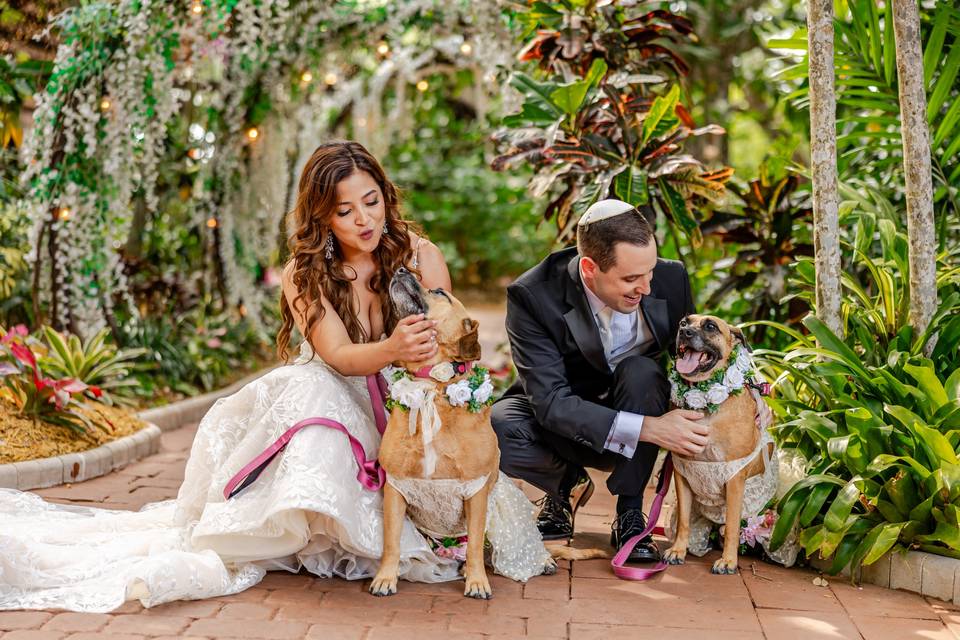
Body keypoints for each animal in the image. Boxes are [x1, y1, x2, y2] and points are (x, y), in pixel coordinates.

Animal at [368, 268, 502, 596]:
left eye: (440, 292)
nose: (401, 269)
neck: (433, 388)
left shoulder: (476, 490)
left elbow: (475, 545)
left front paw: (477, 581)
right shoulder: (395, 487)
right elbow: (391, 543)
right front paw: (385, 578)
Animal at [660, 314, 772, 576]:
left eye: (710, 326)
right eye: (683, 322)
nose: (685, 332)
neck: (705, 407)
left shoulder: (734, 479)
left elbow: (731, 525)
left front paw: (728, 561)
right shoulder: (683, 473)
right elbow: (683, 520)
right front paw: (678, 550)